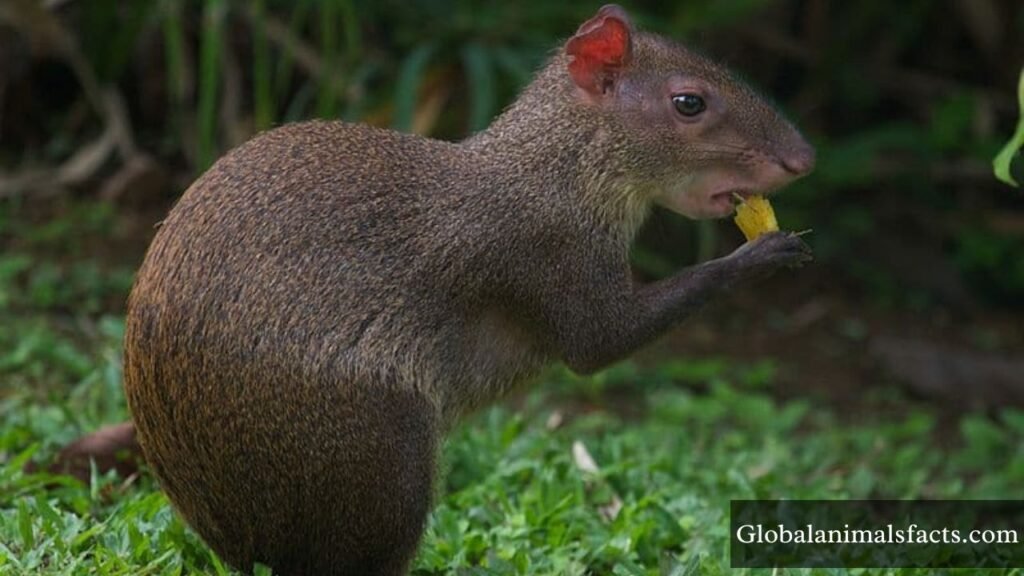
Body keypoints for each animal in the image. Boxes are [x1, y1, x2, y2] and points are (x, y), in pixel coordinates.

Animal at [66, 5, 816, 575]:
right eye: (690, 102)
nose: (803, 157)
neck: (556, 174)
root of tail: (236, 539)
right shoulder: (547, 260)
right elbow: (598, 345)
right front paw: (765, 252)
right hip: (387, 451)